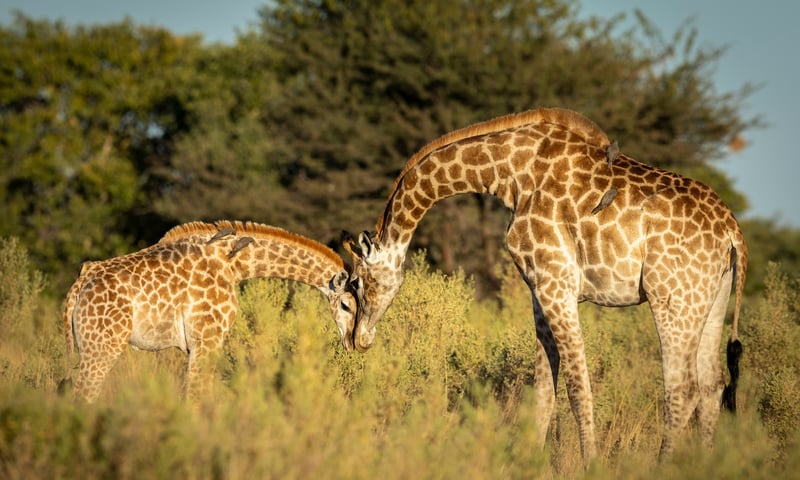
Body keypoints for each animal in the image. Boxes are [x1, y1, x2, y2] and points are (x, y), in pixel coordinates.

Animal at [61, 220, 359, 403]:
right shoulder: (207, 340)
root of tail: (79, 284)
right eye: (347, 305)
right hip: (102, 347)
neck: (235, 264)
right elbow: (195, 398)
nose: (357, 344)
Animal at [343, 107, 746, 464]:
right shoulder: (539, 288)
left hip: (671, 299)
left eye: (356, 283)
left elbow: (577, 388)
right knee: (711, 386)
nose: (358, 339)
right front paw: (525, 462)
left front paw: (590, 465)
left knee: (683, 389)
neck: (509, 173)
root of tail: (732, 231)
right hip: (711, 300)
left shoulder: (556, 283)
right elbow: (542, 391)